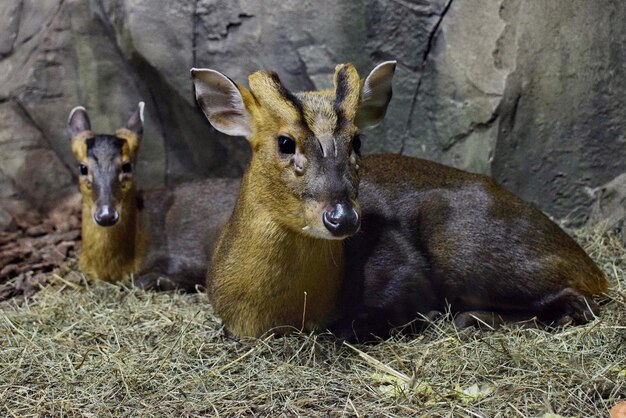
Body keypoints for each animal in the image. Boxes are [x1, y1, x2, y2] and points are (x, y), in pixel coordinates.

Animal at [190, 61, 604, 340]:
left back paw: (470, 319)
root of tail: (590, 266)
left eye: (357, 141)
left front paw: (424, 317)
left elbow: (355, 325)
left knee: (581, 301)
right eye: (285, 142)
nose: (342, 218)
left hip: (464, 246)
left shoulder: (402, 272)